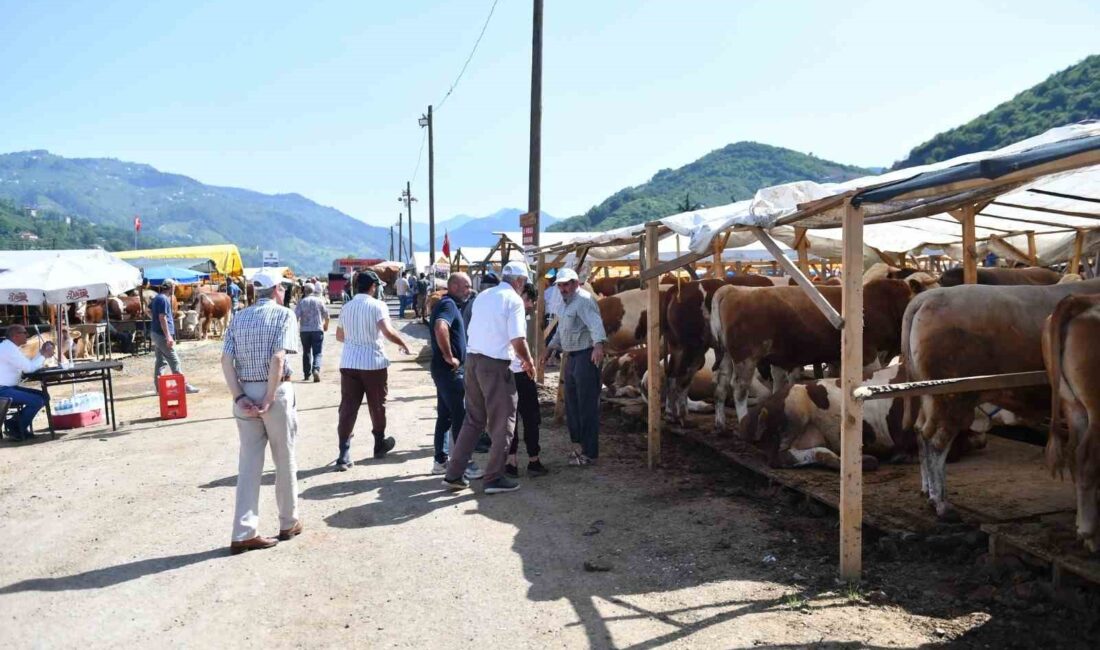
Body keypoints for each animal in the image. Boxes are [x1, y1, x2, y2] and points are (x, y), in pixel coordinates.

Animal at [708, 274, 932, 433]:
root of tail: (732, 289)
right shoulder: (868, 353)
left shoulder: (837, 358)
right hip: (746, 357)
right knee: (739, 389)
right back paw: (743, 421)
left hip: (726, 356)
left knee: (721, 385)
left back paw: (720, 423)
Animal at [897, 278, 1100, 519]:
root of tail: (925, 298)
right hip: (951, 398)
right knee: (935, 441)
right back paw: (941, 504)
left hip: (931, 398)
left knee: (920, 432)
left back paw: (927, 490)